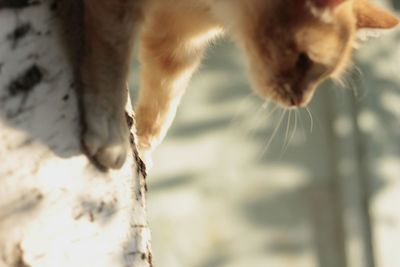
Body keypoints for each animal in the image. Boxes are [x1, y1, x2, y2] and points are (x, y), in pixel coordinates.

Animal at [80, 0, 396, 170]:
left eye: (323, 75)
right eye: (304, 60)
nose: (300, 101)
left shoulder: (177, 44)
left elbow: (162, 105)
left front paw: (142, 145)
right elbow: (111, 58)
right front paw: (113, 136)